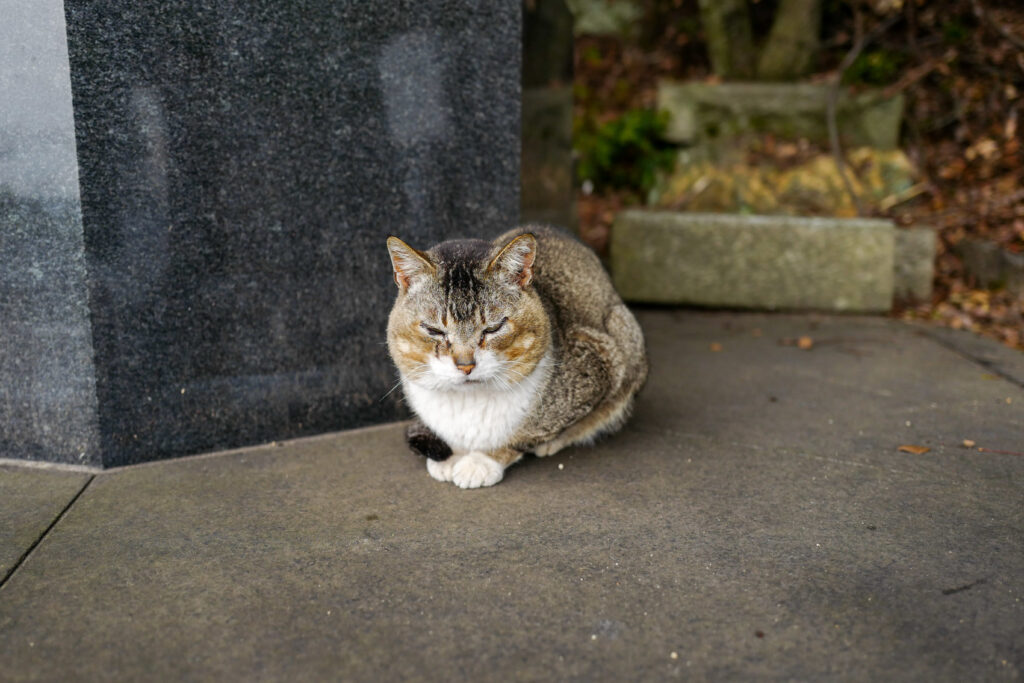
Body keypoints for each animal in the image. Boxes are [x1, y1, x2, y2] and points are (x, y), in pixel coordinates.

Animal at [385, 227, 647, 489]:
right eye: (434, 330)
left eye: (493, 328)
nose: (465, 366)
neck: (469, 402)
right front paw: (453, 454)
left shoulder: (602, 363)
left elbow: (523, 436)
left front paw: (482, 461)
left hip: (624, 331)